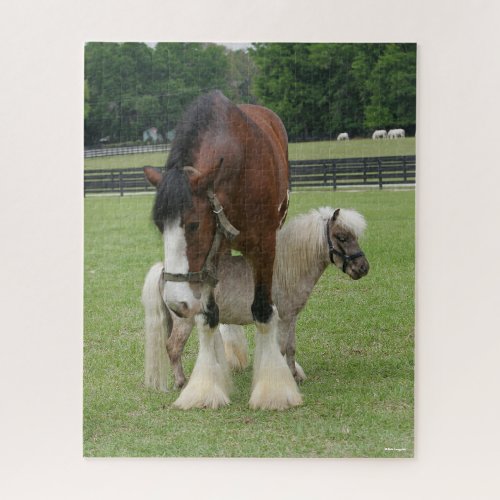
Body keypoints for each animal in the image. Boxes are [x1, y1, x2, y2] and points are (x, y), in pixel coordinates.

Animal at [143, 207, 370, 394]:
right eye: (342, 237)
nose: (363, 268)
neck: (285, 269)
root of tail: (165, 271)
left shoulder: (291, 317)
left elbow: (291, 348)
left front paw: (294, 375)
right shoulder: (283, 319)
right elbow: (281, 348)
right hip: (185, 321)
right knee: (173, 347)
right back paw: (182, 383)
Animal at [145, 91, 300, 410]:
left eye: (193, 224)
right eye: (159, 225)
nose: (176, 302)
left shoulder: (265, 247)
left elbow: (263, 310)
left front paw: (274, 389)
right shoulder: (212, 253)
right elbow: (209, 316)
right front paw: (206, 387)